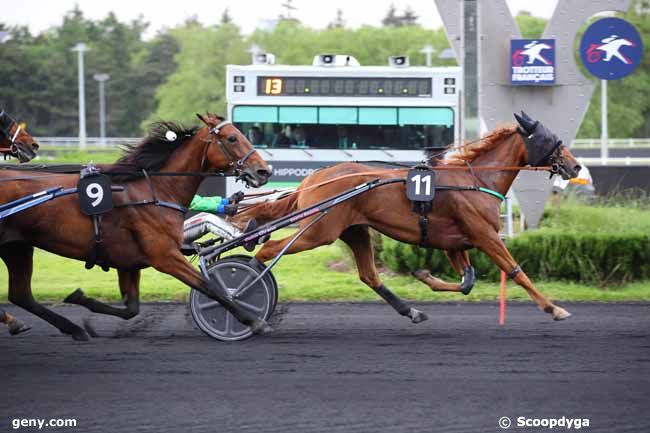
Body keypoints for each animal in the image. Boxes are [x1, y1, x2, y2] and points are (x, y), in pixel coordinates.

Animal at [235, 113, 580, 322]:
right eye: (550, 139)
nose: (575, 166)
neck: (476, 179)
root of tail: (311, 180)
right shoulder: (485, 235)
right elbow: (515, 270)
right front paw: (554, 308)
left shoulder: (455, 243)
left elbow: (467, 282)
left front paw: (424, 275)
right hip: (318, 231)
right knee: (269, 249)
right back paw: (243, 291)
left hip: (355, 231)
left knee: (370, 276)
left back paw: (411, 311)